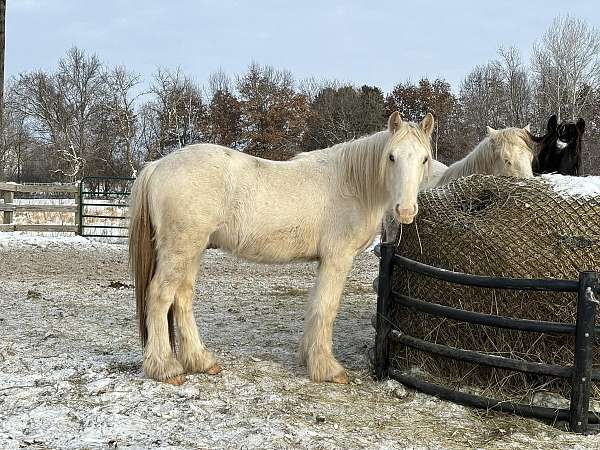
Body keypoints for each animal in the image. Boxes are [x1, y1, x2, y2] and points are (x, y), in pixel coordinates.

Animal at [129, 110, 434, 384]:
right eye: (392, 157)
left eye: (424, 158)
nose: (406, 211)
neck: (351, 184)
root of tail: (158, 165)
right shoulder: (338, 258)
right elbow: (327, 307)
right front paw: (328, 369)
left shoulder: (324, 261)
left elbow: (315, 305)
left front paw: (309, 359)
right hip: (180, 249)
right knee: (159, 297)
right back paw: (165, 368)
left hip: (193, 249)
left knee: (182, 298)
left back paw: (200, 361)